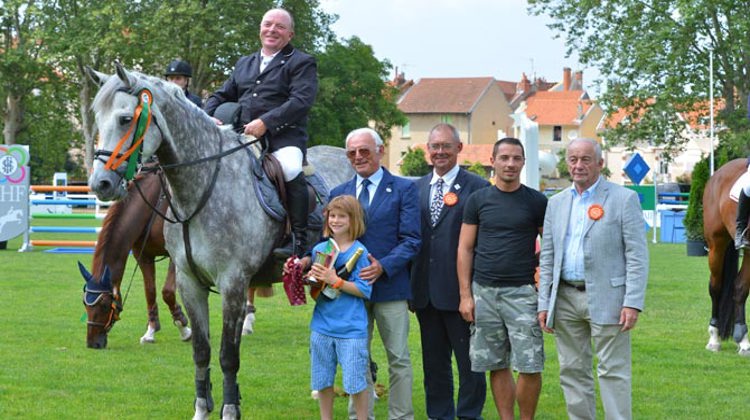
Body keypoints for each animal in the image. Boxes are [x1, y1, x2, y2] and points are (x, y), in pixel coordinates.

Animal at [77, 167, 191, 348]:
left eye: (104, 305)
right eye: (84, 303)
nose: (92, 343)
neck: (152, 208)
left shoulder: (177, 255)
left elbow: (167, 292)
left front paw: (183, 327)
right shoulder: (142, 255)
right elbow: (150, 291)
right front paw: (151, 330)